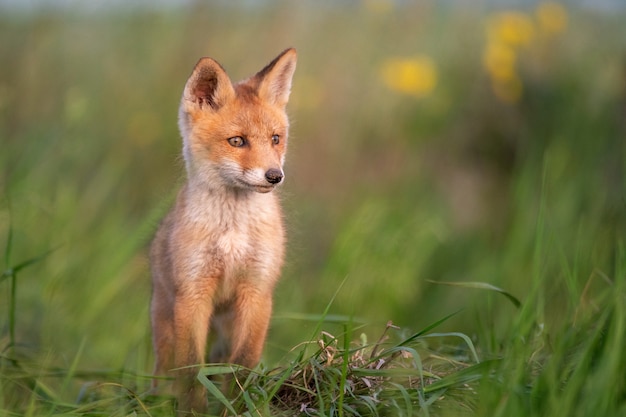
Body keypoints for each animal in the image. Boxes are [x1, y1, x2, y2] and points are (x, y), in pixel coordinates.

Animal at [151, 48, 298, 410]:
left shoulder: (257, 291)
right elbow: (192, 373)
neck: (233, 233)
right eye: (237, 141)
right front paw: (195, 411)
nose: (275, 176)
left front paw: (238, 405)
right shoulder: (193, 294)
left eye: (275, 138)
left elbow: (243, 365)